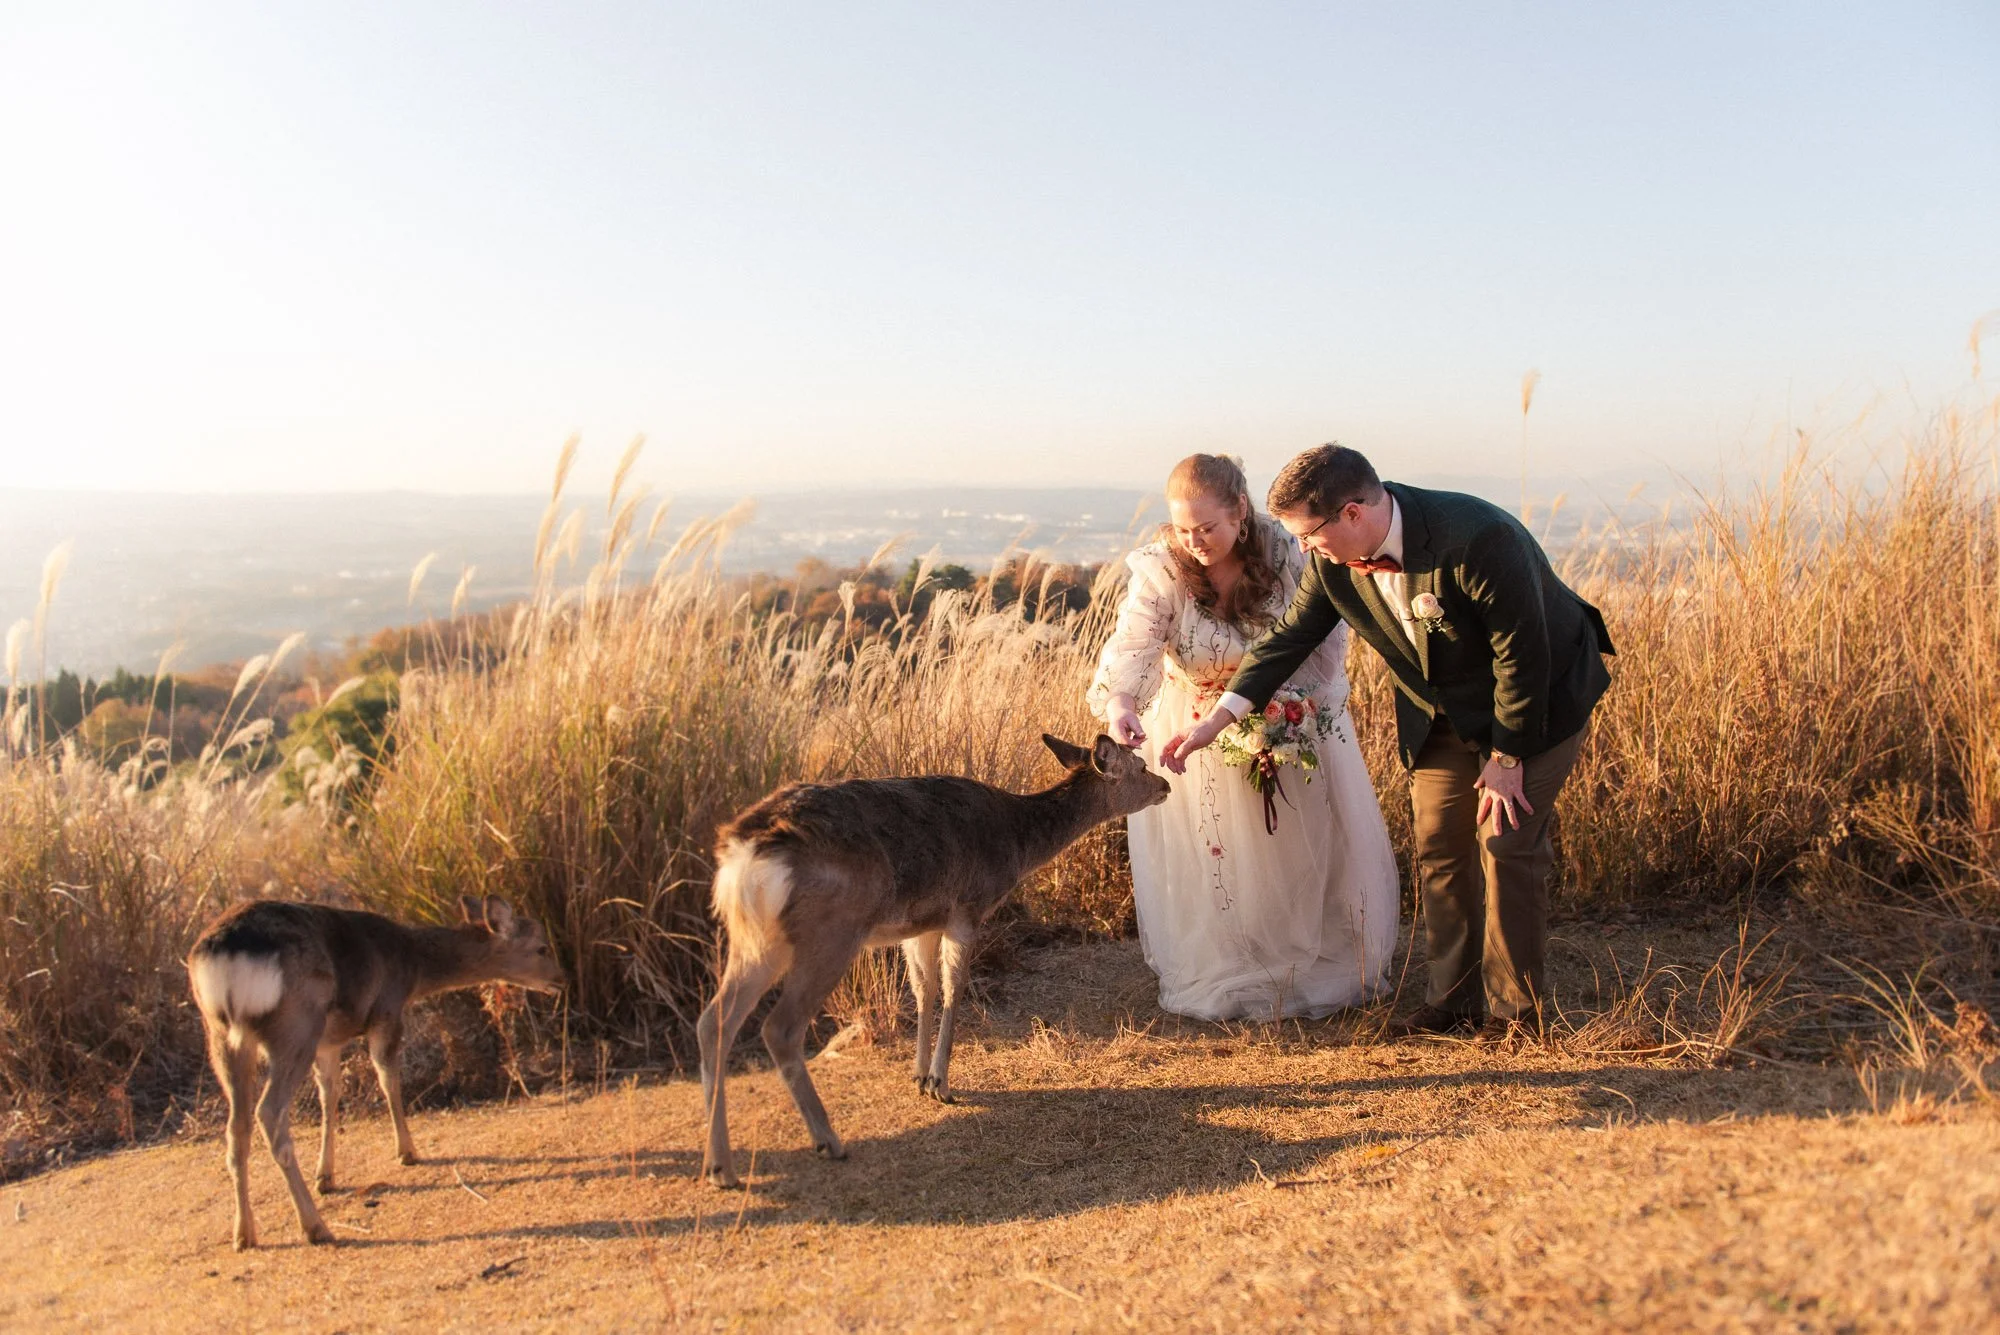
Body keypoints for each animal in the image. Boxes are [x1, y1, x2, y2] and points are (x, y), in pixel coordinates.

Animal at [186, 895, 564, 1250]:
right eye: (541, 947)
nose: (561, 981)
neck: (412, 965)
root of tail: (225, 955)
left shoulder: (329, 1040)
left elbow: (329, 1093)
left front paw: (326, 1176)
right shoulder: (387, 1010)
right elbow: (387, 1078)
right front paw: (408, 1152)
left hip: (222, 1036)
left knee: (237, 1125)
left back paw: (244, 1235)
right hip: (296, 1025)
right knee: (268, 1112)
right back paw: (316, 1228)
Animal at [698, 732, 1171, 1187]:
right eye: (1140, 765)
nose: (1165, 785)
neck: (1017, 843)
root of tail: (744, 854)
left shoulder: (922, 923)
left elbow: (922, 989)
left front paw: (919, 1076)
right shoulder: (967, 908)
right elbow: (953, 987)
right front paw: (941, 1083)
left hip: (755, 939)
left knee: (713, 1021)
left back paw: (720, 1165)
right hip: (830, 931)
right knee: (779, 1027)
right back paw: (825, 1140)